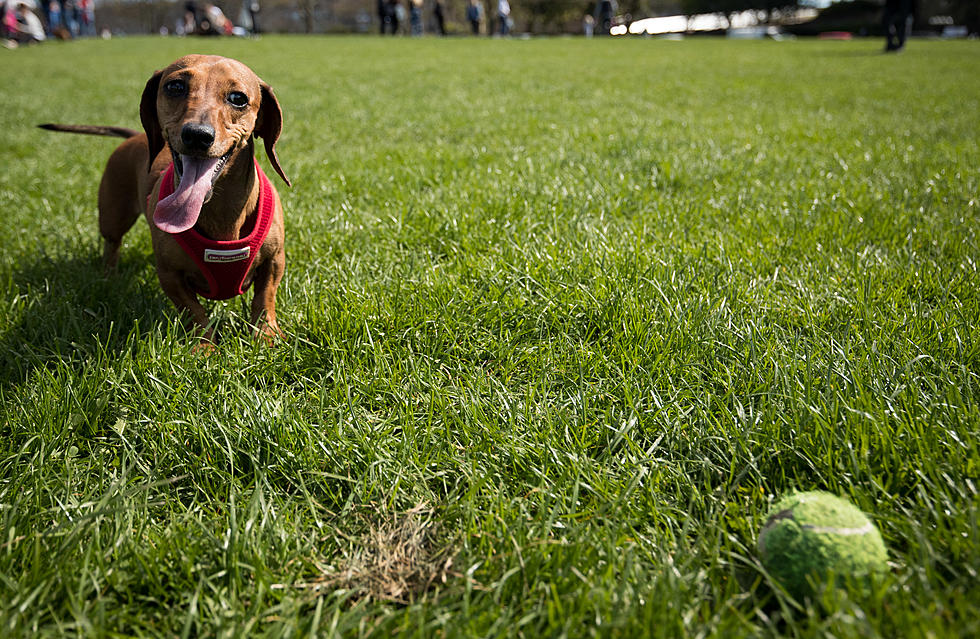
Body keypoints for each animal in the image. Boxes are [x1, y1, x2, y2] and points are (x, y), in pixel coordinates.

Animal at [42, 55, 288, 344]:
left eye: (238, 98)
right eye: (175, 86)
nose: (197, 135)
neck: (220, 214)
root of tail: (135, 136)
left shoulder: (274, 261)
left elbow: (264, 300)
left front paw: (267, 337)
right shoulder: (170, 275)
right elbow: (194, 312)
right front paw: (204, 346)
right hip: (112, 218)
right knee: (112, 246)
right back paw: (109, 278)